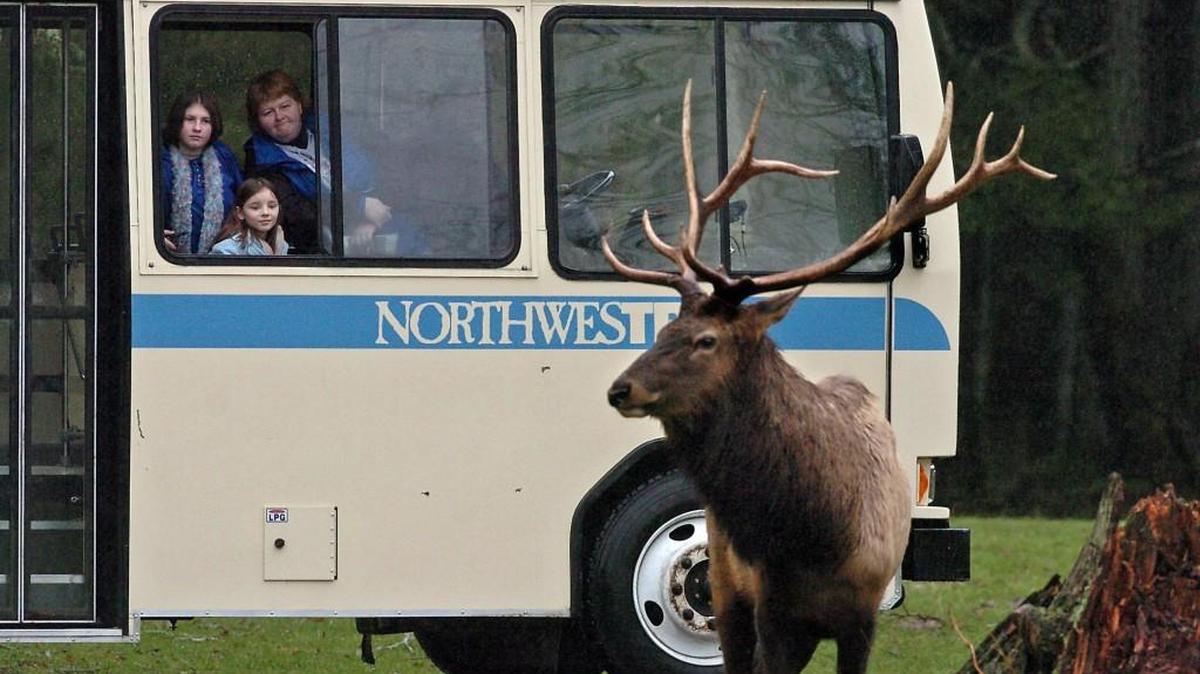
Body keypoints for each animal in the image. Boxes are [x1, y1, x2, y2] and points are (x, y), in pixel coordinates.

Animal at [603, 81, 1054, 674]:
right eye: (665, 328)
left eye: (706, 340)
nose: (621, 388)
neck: (814, 535)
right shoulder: (769, 605)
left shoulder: (862, 610)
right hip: (725, 582)